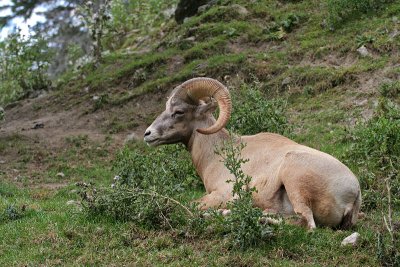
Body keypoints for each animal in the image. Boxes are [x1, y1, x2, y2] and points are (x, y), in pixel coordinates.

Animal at [145, 77, 362, 230]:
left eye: (179, 112)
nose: (148, 134)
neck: (218, 154)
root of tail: (354, 192)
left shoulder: (222, 195)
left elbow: (191, 205)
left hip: (295, 180)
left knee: (306, 223)